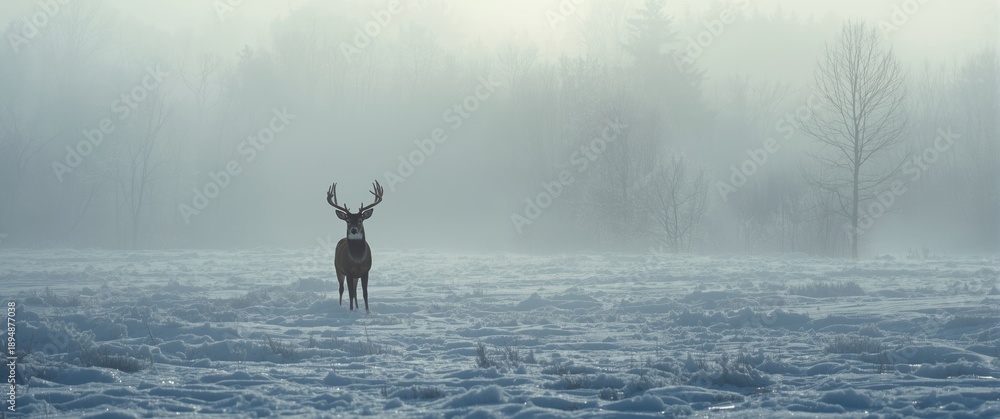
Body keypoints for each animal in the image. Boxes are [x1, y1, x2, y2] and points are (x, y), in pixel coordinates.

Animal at [326, 180, 383, 313]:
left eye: (360, 220)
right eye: (347, 220)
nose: (353, 230)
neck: (357, 260)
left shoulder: (365, 271)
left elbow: (365, 293)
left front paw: (367, 312)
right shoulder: (348, 271)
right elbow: (350, 293)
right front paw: (351, 310)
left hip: (355, 276)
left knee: (356, 291)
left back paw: (357, 307)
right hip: (338, 269)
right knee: (342, 289)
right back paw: (341, 306)